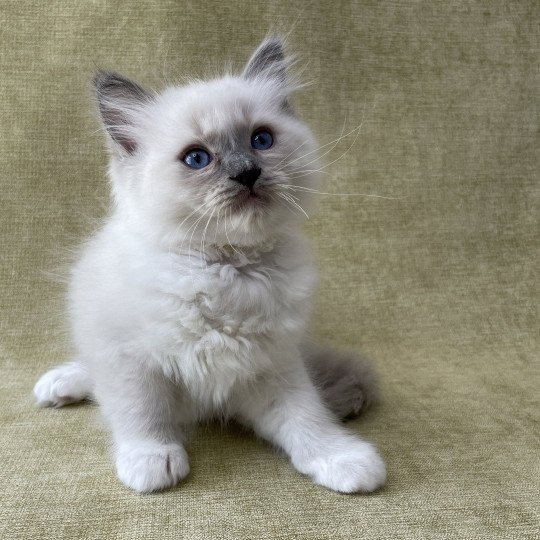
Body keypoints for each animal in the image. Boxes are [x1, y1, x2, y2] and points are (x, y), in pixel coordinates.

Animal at [33, 37, 386, 494]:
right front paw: (151, 462)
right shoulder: (130, 359)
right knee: (95, 375)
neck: (228, 270)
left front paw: (341, 459)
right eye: (197, 159)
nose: (247, 173)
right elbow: (141, 414)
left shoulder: (272, 363)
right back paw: (59, 384)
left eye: (261, 139)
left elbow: (306, 417)